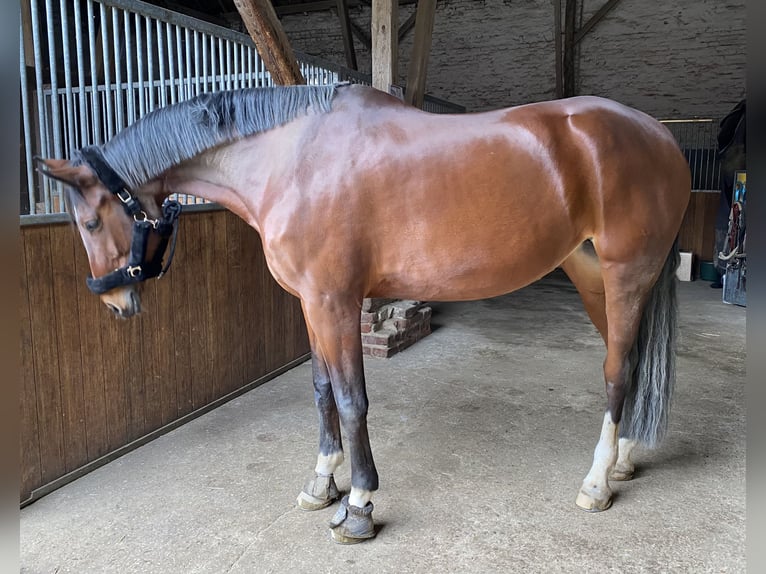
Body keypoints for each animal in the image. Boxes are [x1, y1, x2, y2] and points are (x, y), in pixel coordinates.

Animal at [39, 82, 692, 544]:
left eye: (90, 221)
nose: (114, 301)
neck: (290, 159)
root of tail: (659, 136)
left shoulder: (336, 302)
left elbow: (353, 401)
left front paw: (357, 507)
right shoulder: (310, 303)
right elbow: (322, 390)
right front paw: (320, 483)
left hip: (626, 274)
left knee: (617, 373)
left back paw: (596, 483)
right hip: (593, 277)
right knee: (631, 363)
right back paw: (624, 461)